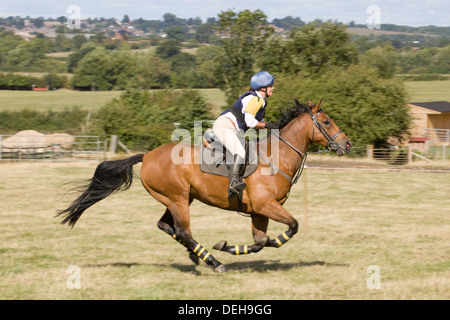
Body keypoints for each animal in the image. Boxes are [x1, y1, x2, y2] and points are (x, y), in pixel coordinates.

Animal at [57, 98, 352, 272]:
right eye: (326, 121)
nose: (347, 144)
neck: (276, 156)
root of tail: (147, 155)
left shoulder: (260, 211)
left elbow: (260, 241)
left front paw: (229, 247)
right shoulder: (266, 206)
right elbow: (291, 228)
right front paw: (224, 249)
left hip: (179, 199)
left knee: (165, 226)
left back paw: (196, 256)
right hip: (177, 199)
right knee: (183, 230)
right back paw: (212, 261)